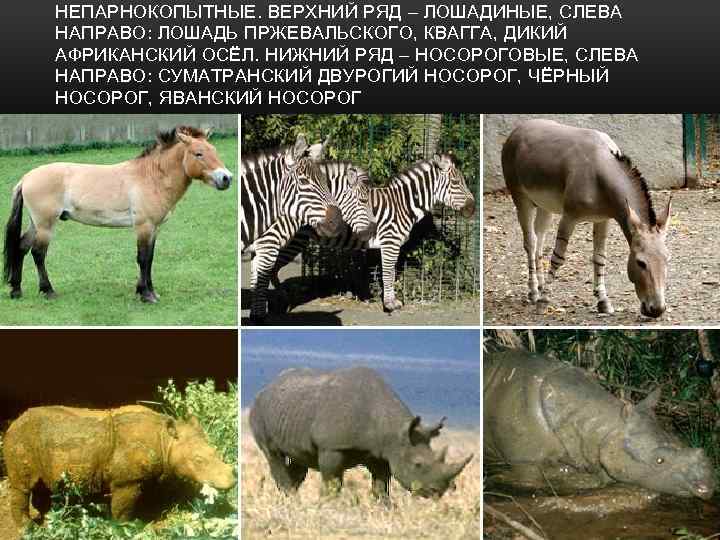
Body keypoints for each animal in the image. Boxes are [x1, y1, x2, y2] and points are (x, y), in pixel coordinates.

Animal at [3, 126, 233, 303]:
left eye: (214, 150)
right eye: (198, 153)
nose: (226, 178)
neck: (151, 177)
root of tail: (26, 178)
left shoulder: (154, 228)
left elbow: (150, 258)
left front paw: (148, 291)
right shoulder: (143, 226)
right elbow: (143, 258)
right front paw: (146, 295)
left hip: (35, 224)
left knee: (21, 247)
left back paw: (16, 290)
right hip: (45, 225)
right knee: (38, 253)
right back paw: (48, 291)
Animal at [502, 119, 671, 318]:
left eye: (667, 259)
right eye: (640, 263)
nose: (657, 310)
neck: (599, 171)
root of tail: (519, 128)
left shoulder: (603, 219)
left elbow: (599, 258)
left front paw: (603, 302)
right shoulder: (569, 217)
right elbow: (558, 258)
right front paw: (544, 303)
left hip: (545, 207)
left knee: (539, 243)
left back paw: (541, 286)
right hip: (521, 199)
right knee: (530, 242)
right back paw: (534, 292)